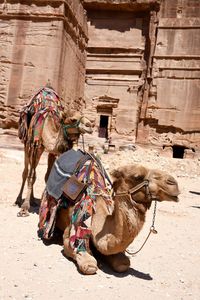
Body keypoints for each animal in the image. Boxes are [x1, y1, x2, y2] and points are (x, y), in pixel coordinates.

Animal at [15, 85, 93, 217]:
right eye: (73, 119)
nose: (90, 125)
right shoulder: (37, 146)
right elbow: (31, 176)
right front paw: (24, 208)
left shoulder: (54, 152)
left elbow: (47, 176)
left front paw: (47, 205)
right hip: (28, 145)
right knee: (26, 171)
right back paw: (19, 199)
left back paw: (33, 200)